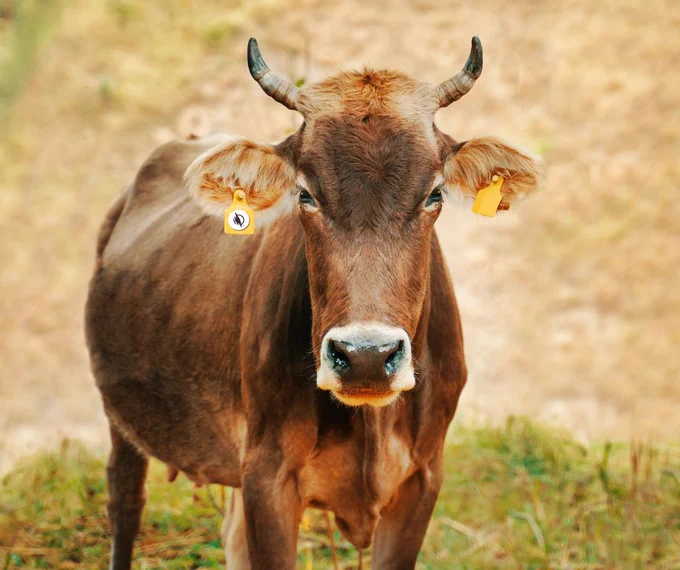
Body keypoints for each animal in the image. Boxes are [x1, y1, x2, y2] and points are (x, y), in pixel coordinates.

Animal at [85, 37, 543, 570]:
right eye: (305, 194)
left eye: (434, 194)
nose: (367, 358)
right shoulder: (268, 477)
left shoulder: (423, 476)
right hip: (120, 417)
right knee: (125, 502)